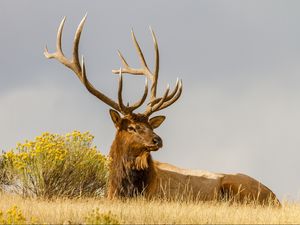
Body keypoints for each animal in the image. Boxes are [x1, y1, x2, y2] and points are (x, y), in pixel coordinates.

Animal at [45, 15, 282, 205]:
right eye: (131, 127)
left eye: (151, 125)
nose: (157, 140)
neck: (124, 189)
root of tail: (275, 198)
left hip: (237, 187)